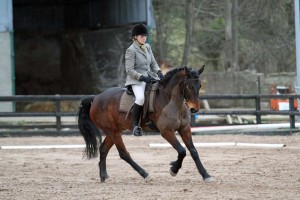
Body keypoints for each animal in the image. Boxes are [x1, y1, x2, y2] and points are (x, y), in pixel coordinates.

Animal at [78, 65, 213, 183]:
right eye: (189, 86)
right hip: (113, 131)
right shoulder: (166, 132)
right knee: (124, 154)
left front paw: (206, 175)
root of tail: (95, 98)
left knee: (103, 149)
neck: (172, 101)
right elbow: (182, 150)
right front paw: (173, 169)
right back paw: (145, 174)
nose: (194, 109)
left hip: (114, 131)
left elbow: (193, 151)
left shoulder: (185, 129)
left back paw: (103, 176)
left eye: (200, 85)